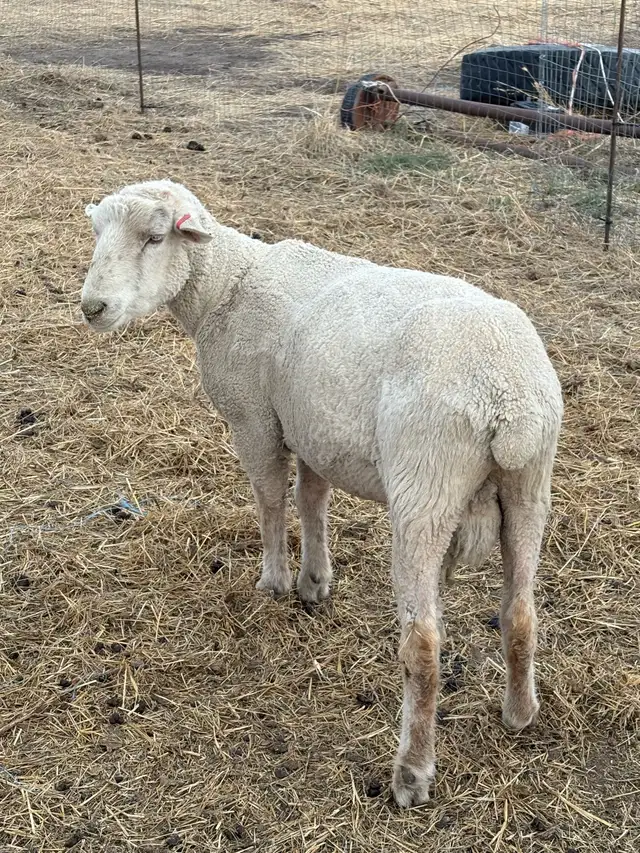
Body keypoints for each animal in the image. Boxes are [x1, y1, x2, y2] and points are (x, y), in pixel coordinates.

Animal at [80, 179, 563, 807]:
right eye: (97, 233)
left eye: (155, 237)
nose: (92, 308)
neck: (226, 286)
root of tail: (508, 398)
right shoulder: (311, 428)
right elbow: (312, 501)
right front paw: (314, 581)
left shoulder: (256, 421)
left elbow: (270, 500)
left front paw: (275, 581)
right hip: (530, 488)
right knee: (521, 612)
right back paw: (519, 713)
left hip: (425, 487)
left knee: (424, 645)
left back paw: (411, 772)